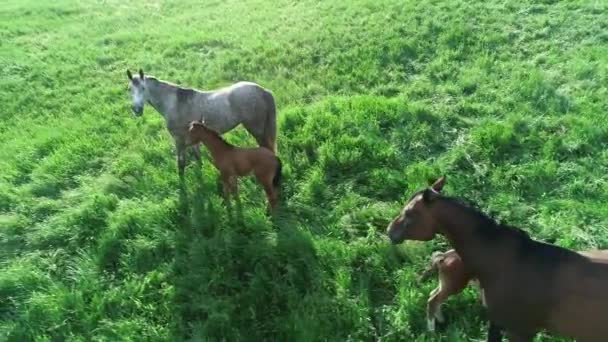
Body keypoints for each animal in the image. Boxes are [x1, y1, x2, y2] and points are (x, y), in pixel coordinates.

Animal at [126, 69, 278, 176]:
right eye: (129, 89)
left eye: (143, 88)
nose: (136, 109)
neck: (175, 104)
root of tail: (263, 90)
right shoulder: (193, 139)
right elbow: (198, 159)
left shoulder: (179, 140)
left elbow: (181, 164)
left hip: (256, 129)